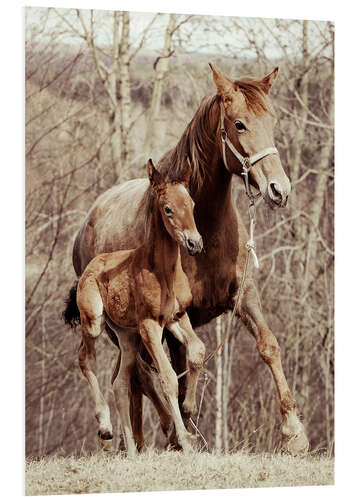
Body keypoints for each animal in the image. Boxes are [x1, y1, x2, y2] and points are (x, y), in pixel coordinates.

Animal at [74, 161, 203, 458]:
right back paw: (105, 427)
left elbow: (198, 351)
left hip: (127, 335)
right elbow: (167, 377)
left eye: (191, 203)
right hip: (95, 322)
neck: (163, 272)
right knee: (85, 358)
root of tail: (90, 265)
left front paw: (189, 408)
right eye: (167, 208)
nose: (195, 243)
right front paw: (184, 440)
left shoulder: (177, 317)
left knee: (121, 382)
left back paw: (132, 450)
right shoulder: (150, 325)